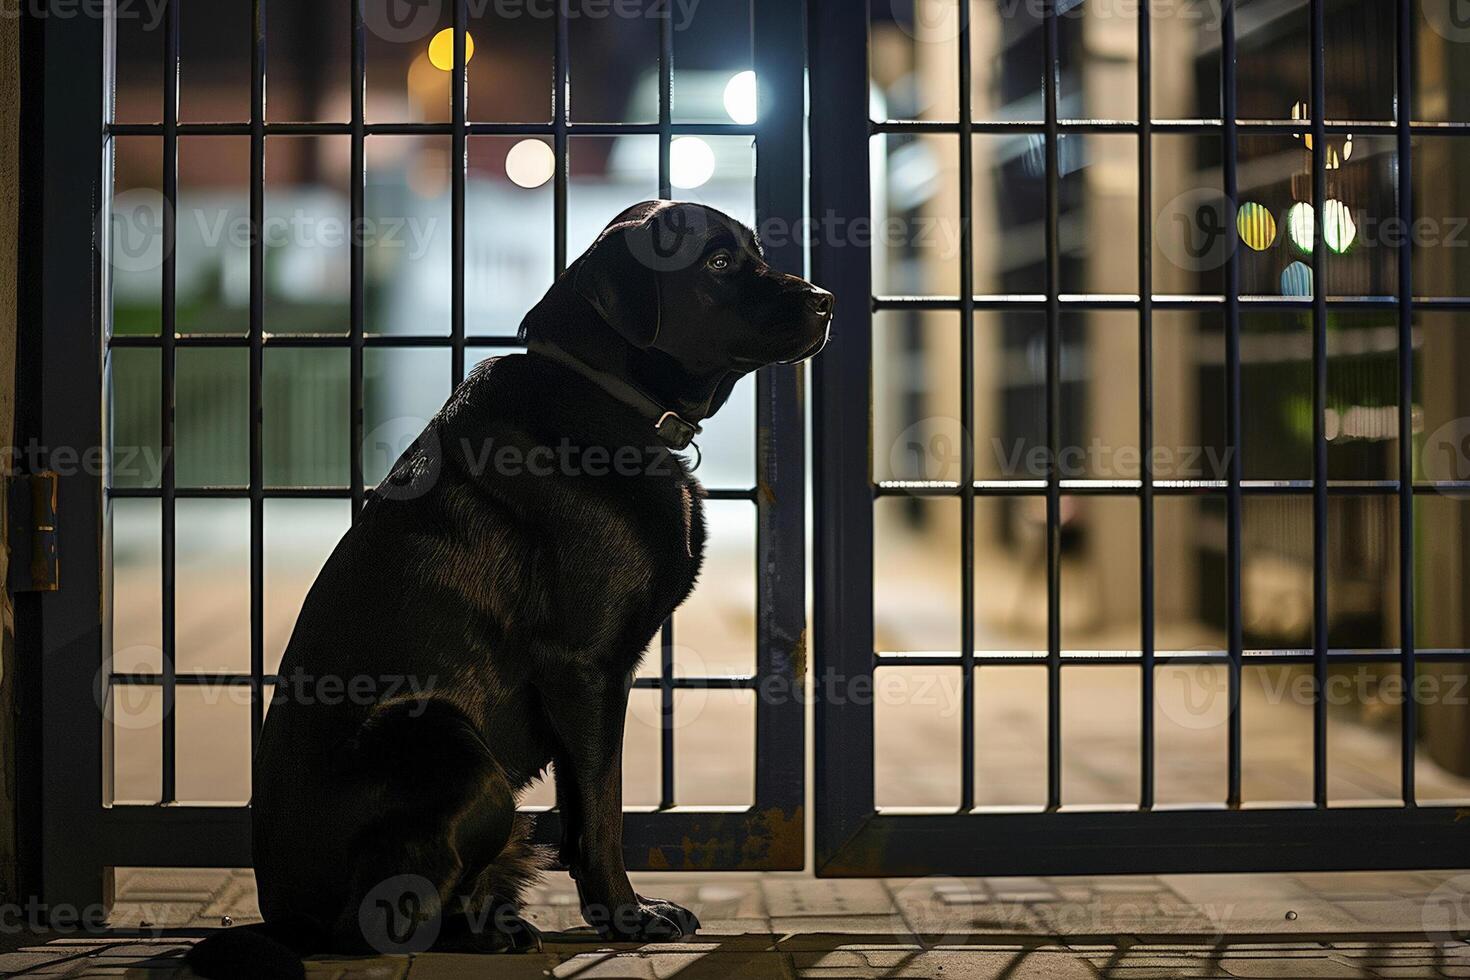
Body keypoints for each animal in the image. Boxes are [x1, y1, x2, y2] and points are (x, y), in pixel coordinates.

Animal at [186, 202, 829, 975]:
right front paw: (627, 916)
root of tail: (283, 917)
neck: (601, 390)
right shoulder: (584, 667)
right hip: (450, 745)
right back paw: (486, 932)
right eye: (719, 263)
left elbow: (582, 815)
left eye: (756, 251)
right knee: (370, 922)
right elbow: (605, 810)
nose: (826, 301)